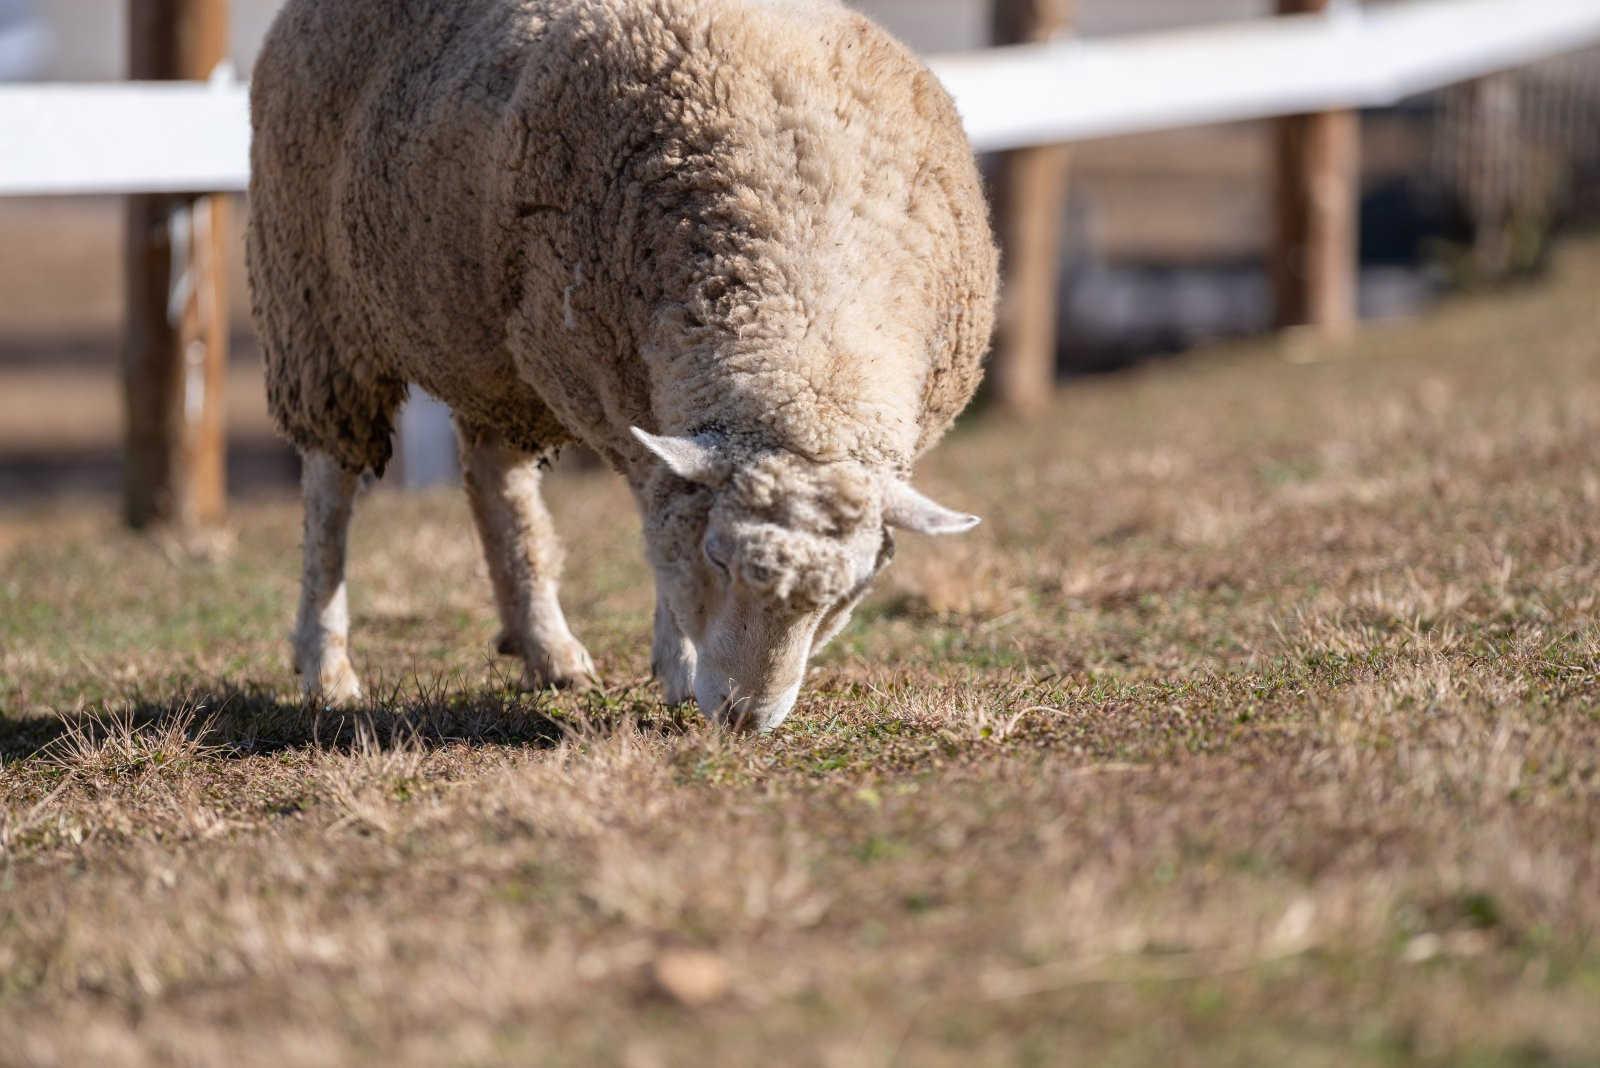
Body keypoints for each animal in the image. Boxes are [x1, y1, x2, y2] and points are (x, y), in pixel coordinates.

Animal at [246, 0, 998, 729]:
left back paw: (548, 651)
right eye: (717, 555)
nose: (743, 716)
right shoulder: (617, 390)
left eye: (850, 591)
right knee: (330, 494)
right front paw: (678, 664)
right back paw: (327, 669)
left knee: (494, 478)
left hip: (487, 345)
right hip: (313, 303)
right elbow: (659, 528)